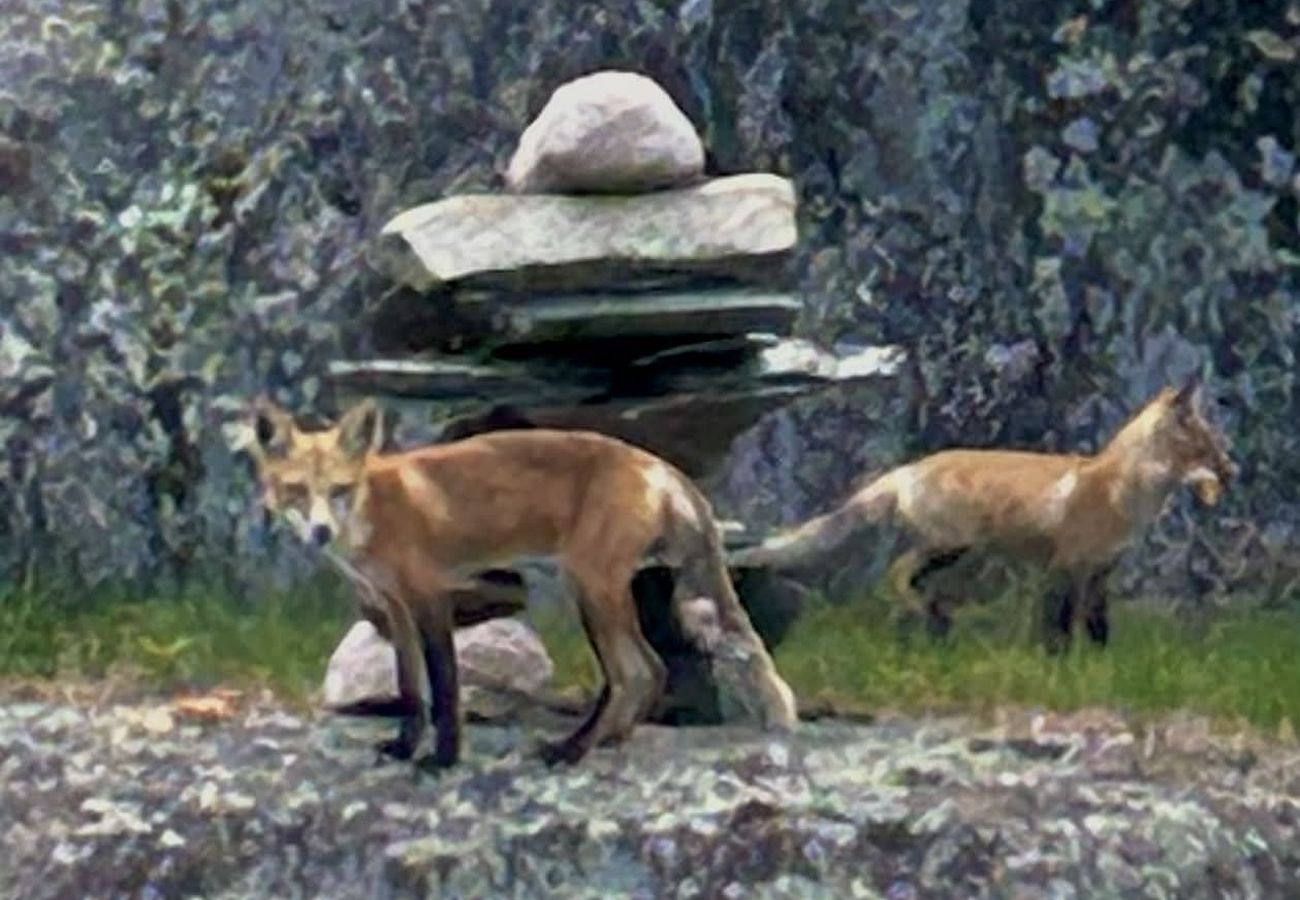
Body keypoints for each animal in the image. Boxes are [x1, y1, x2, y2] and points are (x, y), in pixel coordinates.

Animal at [241, 396, 798, 771]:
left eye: (338, 490)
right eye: (296, 491)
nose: (320, 533)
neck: (373, 507)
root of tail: (657, 464)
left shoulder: (430, 598)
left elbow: (444, 689)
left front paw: (442, 759)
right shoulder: (393, 606)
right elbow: (409, 690)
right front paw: (403, 746)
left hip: (589, 590)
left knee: (636, 673)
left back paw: (572, 751)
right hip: (604, 595)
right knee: (653, 669)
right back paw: (606, 741)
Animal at [730, 374, 1236, 650]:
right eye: (1206, 447)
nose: (1232, 471)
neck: (1119, 494)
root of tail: (909, 467)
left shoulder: (1100, 574)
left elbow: (1097, 634)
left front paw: (1098, 671)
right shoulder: (1064, 568)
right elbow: (1056, 631)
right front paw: (1059, 671)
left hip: (958, 558)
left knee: (915, 597)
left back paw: (923, 638)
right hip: (953, 546)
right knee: (896, 575)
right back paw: (917, 616)